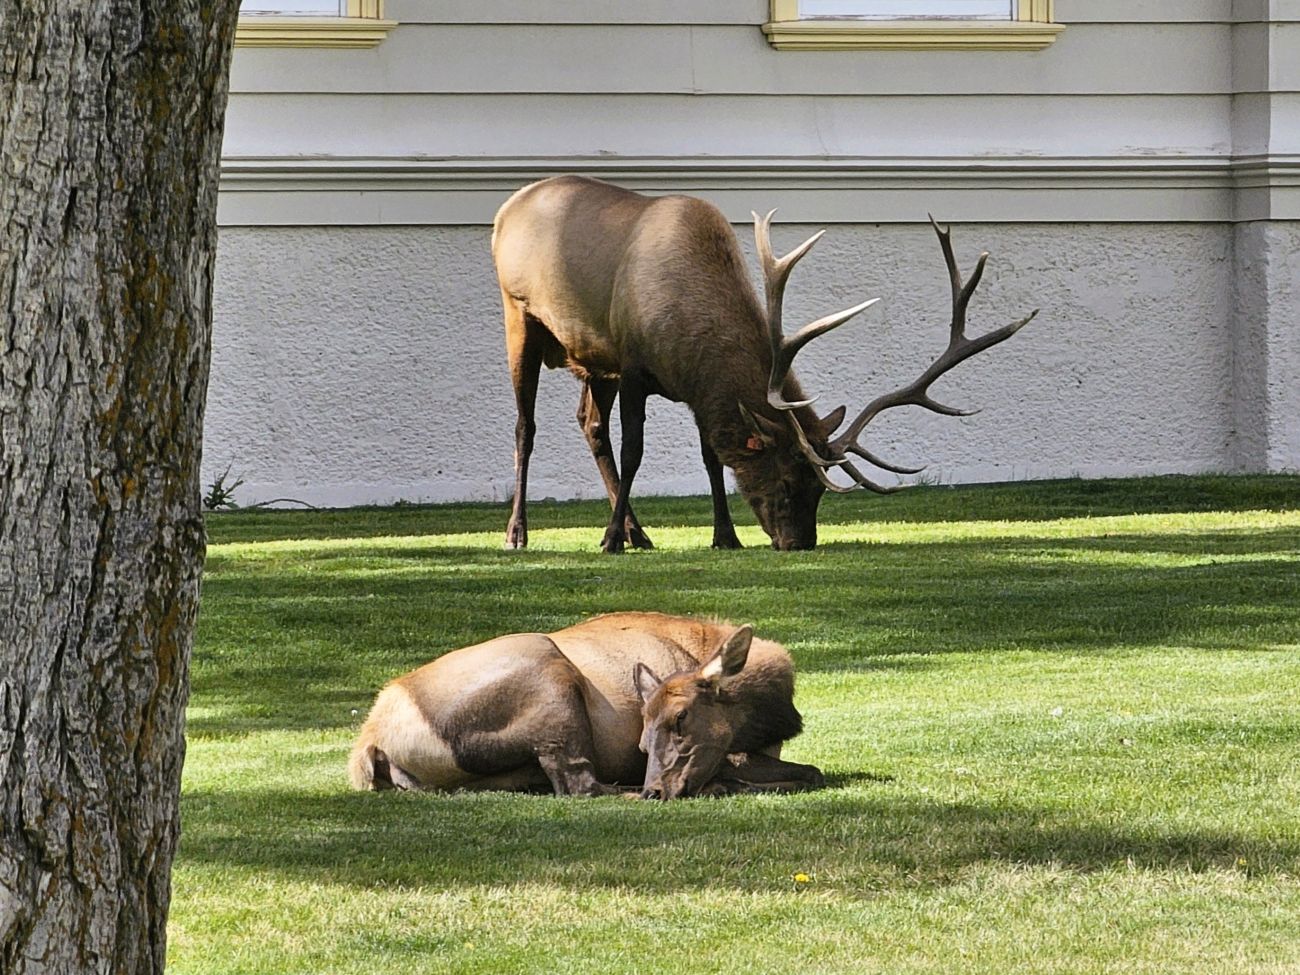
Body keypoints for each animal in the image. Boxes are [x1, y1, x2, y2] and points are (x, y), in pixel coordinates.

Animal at [348, 612, 824, 800]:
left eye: (680, 717)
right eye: (643, 737)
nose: (654, 790)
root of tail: (371, 740)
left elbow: (812, 771)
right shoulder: (733, 753)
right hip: (550, 683)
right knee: (581, 784)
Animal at [492, 175, 1038, 553]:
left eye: (819, 493)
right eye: (789, 480)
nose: (800, 542)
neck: (686, 343)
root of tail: (507, 208)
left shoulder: (692, 390)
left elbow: (712, 456)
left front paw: (724, 536)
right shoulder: (631, 363)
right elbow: (635, 451)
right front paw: (607, 542)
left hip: (590, 359)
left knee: (589, 423)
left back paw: (637, 532)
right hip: (519, 314)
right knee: (525, 426)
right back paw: (520, 533)